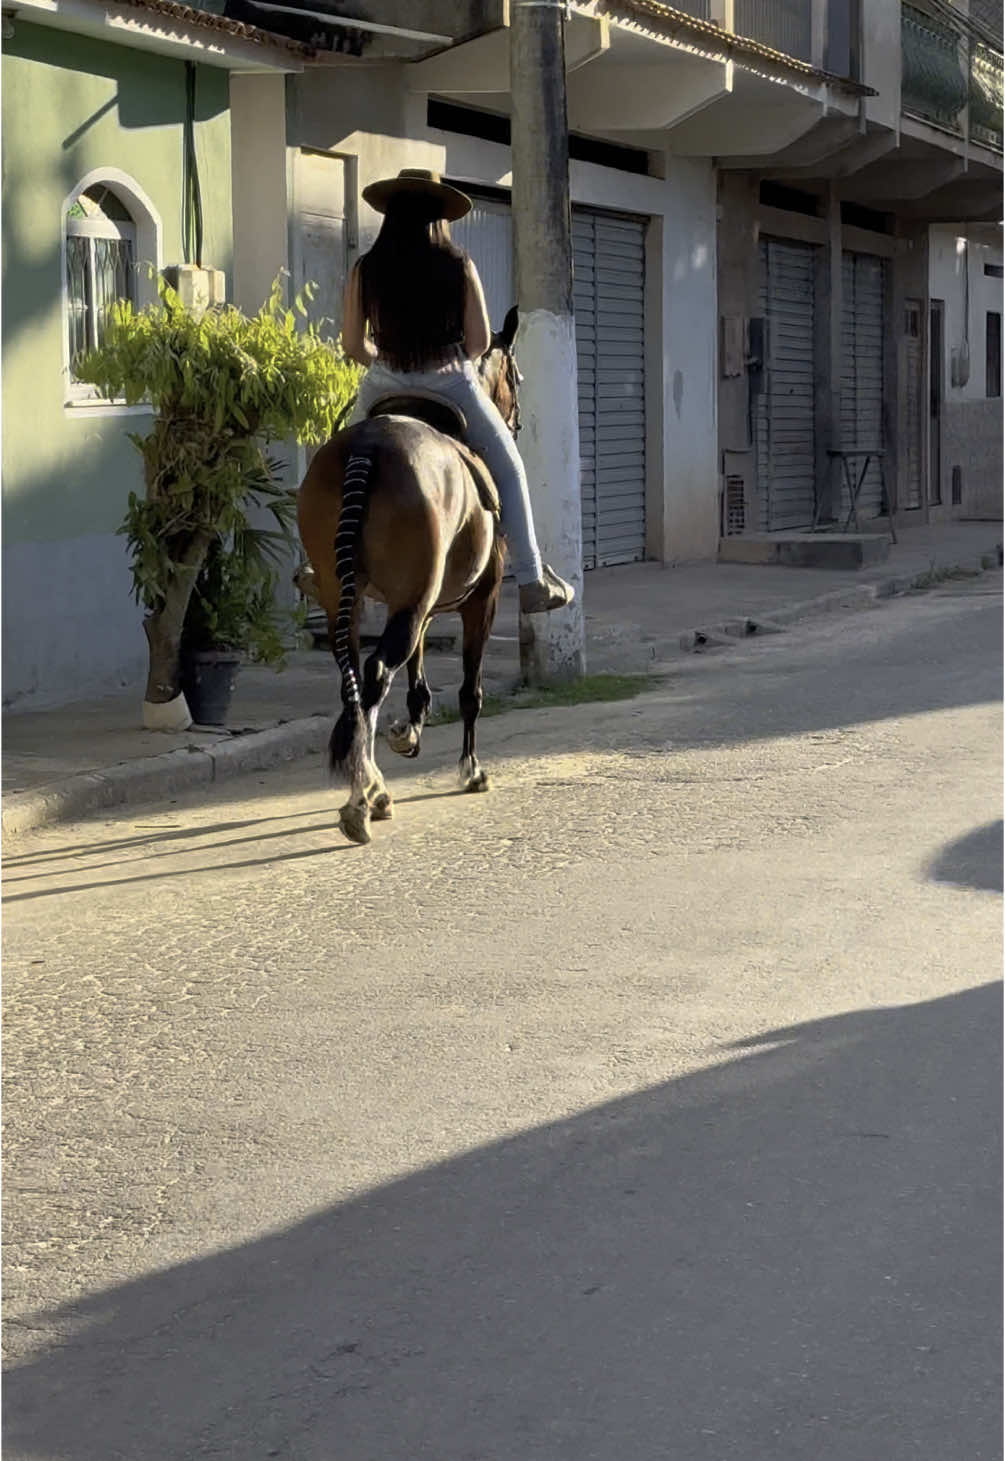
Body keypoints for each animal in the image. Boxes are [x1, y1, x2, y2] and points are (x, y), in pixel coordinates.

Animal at [296, 314, 517, 853]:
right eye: (516, 378)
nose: (516, 420)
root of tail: (369, 446)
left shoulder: (417, 602)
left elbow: (416, 672)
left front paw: (410, 730)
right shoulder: (482, 600)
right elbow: (469, 689)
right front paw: (470, 769)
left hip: (347, 598)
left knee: (354, 679)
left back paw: (368, 787)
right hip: (414, 600)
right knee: (376, 674)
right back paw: (365, 798)